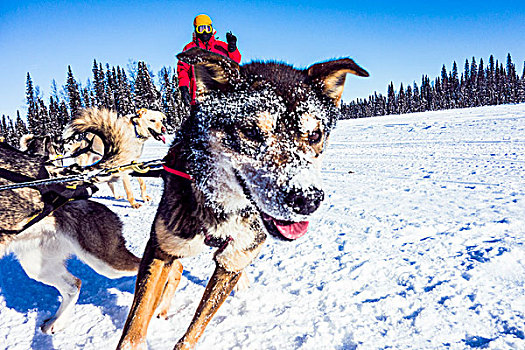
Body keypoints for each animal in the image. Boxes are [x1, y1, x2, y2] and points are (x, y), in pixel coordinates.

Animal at [0, 140, 180, 334]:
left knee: (174, 266)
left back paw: (161, 305)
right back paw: (55, 322)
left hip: (104, 261)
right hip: (36, 265)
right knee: (74, 286)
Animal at [116, 47, 366, 350]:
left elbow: (193, 332)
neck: (222, 207)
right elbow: (134, 327)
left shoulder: (232, 261)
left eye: (315, 134)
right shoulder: (161, 247)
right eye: (251, 132)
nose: (307, 199)